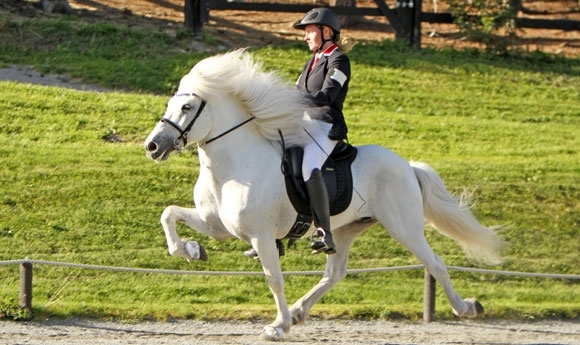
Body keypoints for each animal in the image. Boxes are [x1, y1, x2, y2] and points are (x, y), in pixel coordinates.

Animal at [143, 49, 500, 340]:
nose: (153, 146)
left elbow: (274, 278)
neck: (233, 165)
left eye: (187, 106)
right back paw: (299, 311)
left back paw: (467, 308)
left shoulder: (261, 235)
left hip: (404, 226)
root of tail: (408, 166)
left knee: (435, 263)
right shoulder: (216, 225)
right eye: (170, 104)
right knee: (334, 273)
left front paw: (278, 326)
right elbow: (168, 214)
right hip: (344, 229)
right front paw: (191, 250)